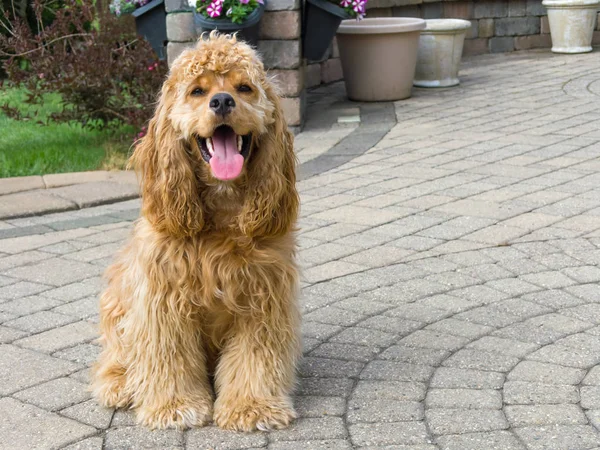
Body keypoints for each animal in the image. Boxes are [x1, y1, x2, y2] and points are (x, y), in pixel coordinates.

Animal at [91, 33, 300, 430]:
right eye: (198, 91)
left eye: (245, 88)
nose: (222, 101)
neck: (221, 210)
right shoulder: (162, 301)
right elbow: (169, 357)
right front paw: (175, 405)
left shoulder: (262, 300)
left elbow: (254, 358)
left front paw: (252, 406)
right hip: (118, 302)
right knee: (114, 357)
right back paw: (120, 384)